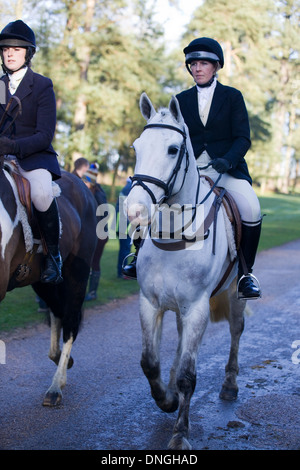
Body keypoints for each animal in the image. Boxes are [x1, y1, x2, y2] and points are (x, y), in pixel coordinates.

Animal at [126, 93, 246, 450]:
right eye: (136, 147)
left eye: (172, 149)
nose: (134, 210)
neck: (174, 235)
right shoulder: (150, 303)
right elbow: (149, 362)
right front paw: (166, 398)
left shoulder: (196, 309)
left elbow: (188, 376)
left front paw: (180, 432)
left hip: (234, 293)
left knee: (236, 330)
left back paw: (230, 384)